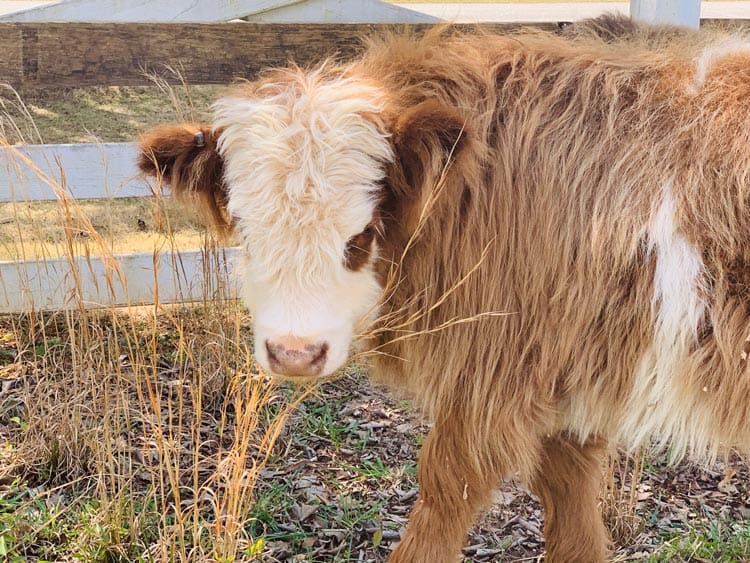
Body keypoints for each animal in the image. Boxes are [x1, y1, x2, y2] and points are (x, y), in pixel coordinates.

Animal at [138, 15, 750, 560]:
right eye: (245, 230)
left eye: (362, 234)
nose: (294, 352)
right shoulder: (571, 377)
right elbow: (570, 504)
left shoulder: (495, 376)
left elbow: (445, 493)